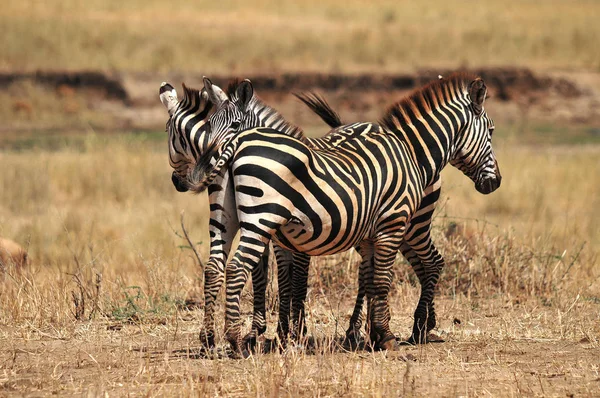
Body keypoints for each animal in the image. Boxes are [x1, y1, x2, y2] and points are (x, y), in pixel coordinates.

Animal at [180, 72, 500, 354]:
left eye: (233, 123)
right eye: (492, 131)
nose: (495, 183)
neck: (410, 153)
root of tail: (235, 148)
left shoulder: (358, 235)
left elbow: (359, 281)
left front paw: (367, 334)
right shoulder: (390, 225)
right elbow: (377, 282)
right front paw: (383, 337)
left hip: (225, 218)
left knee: (213, 268)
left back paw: (209, 339)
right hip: (263, 220)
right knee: (235, 269)